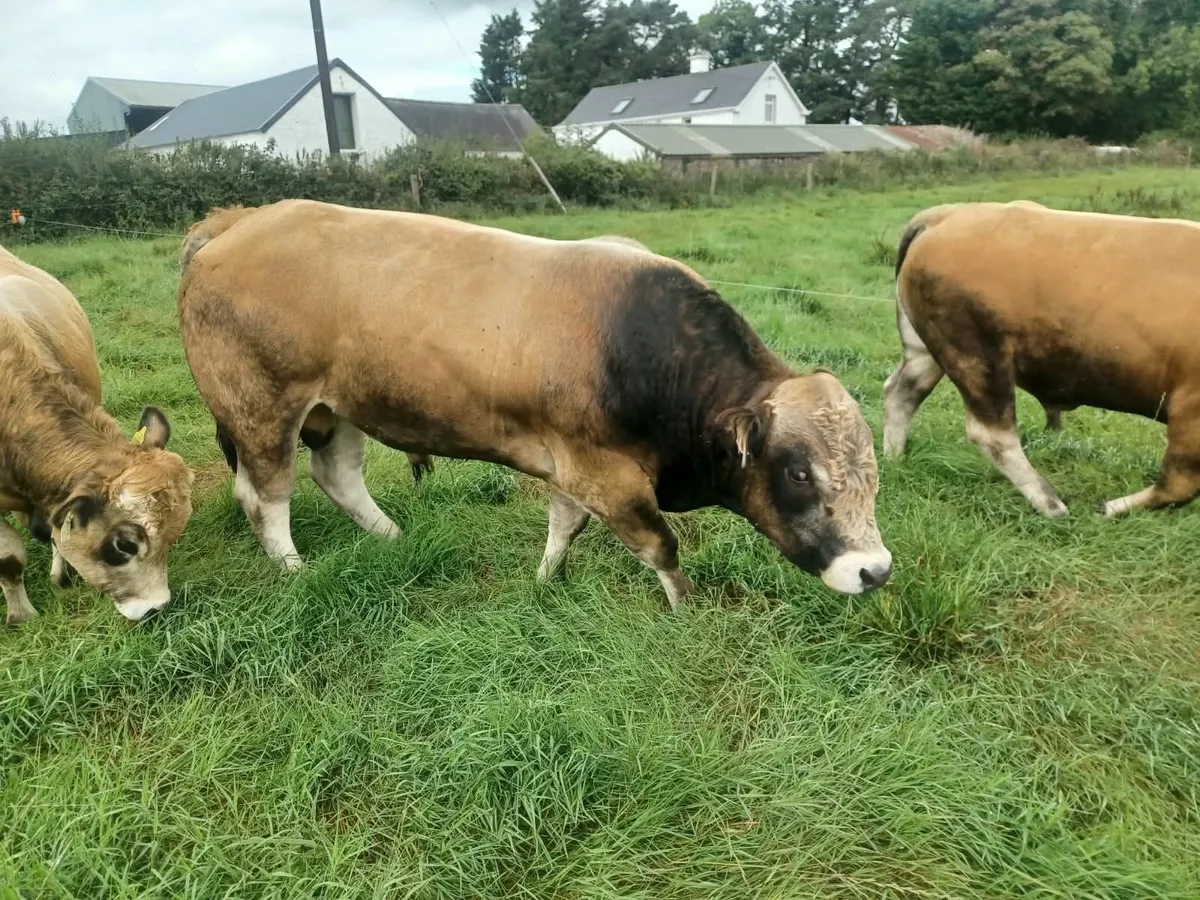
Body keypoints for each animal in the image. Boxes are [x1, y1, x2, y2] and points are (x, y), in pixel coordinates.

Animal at [176, 200, 892, 607]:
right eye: (799, 472)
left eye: (873, 475)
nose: (875, 570)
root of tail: (235, 221)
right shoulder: (605, 474)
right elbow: (660, 546)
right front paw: (686, 609)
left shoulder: (573, 466)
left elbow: (562, 526)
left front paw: (547, 581)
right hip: (262, 408)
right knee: (264, 495)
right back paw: (293, 567)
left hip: (338, 405)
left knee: (337, 474)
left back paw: (390, 536)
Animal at [883, 199, 1200, 518]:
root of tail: (946, 214)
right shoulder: (1190, 407)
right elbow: (1179, 484)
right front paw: (1108, 509)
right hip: (977, 354)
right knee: (993, 433)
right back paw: (1051, 504)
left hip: (927, 350)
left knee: (900, 393)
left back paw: (893, 458)